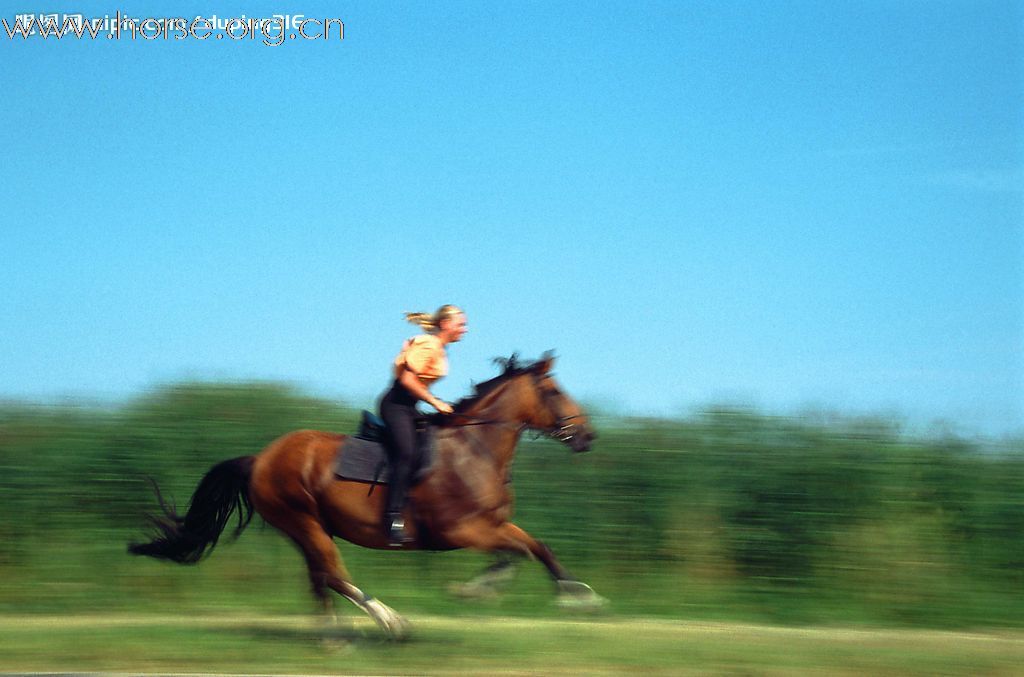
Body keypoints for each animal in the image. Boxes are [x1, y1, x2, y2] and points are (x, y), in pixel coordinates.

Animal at [131, 350, 602, 635]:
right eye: (554, 390)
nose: (587, 437)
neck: (475, 449)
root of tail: (260, 459)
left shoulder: (495, 523)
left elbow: (535, 547)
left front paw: (579, 595)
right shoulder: (463, 531)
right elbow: (515, 553)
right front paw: (475, 589)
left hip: (309, 527)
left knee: (320, 577)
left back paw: (336, 636)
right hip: (301, 519)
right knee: (334, 574)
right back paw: (388, 621)